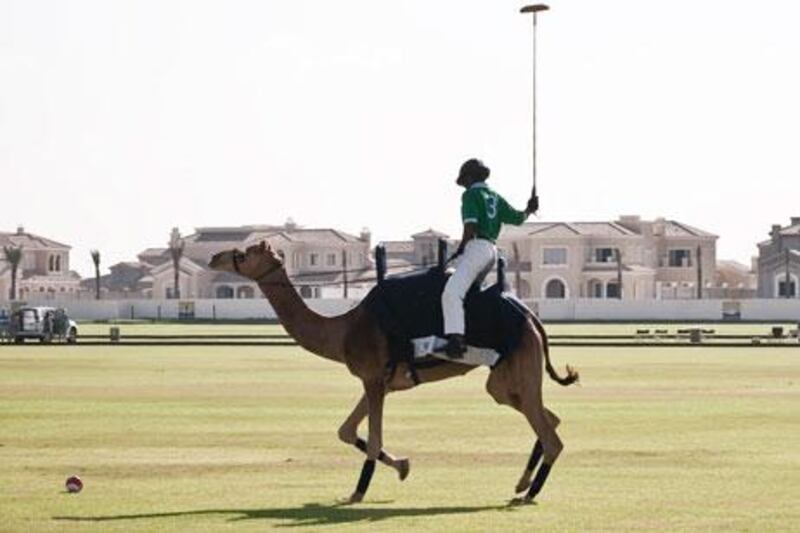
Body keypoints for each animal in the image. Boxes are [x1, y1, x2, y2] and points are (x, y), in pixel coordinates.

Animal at [209, 241, 580, 502]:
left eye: (244, 253)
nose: (215, 258)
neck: (343, 330)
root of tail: (531, 318)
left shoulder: (373, 378)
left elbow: (373, 440)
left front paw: (358, 492)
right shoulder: (379, 381)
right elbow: (346, 431)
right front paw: (403, 466)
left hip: (518, 366)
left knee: (552, 436)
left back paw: (529, 493)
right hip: (504, 379)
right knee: (548, 417)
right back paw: (522, 483)